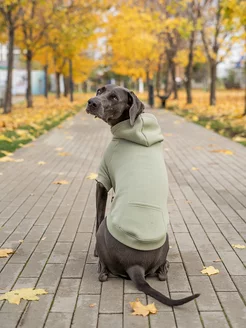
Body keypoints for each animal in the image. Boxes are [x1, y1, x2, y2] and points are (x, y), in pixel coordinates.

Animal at [85, 85, 199, 308]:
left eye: (114, 97)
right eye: (100, 90)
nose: (92, 102)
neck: (134, 126)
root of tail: (135, 266)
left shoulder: (102, 180)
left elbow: (97, 216)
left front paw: (94, 252)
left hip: (105, 230)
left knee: (103, 272)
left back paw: (101, 267)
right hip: (166, 239)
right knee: (161, 274)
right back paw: (165, 266)